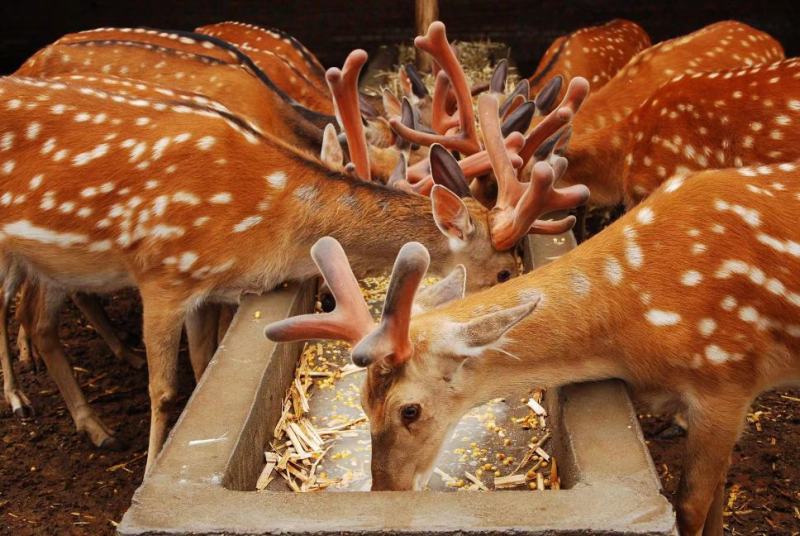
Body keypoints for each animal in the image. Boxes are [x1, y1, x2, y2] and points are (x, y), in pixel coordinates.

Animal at [0, 64, 587, 470]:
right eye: (506, 270)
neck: (271, 222)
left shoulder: (204, 286)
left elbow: (204, 362)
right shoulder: (162, 270)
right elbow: (163, 392)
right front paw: (148, 473)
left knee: (42, 323)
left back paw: (90, 423)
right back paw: (23, 400)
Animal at [265, 94, 800, 534]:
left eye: (409, 409)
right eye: (361, 400)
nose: (386, 490)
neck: (638, 325)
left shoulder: (726, 379)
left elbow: (691, 505)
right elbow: (713, 503)